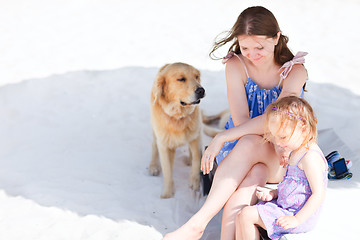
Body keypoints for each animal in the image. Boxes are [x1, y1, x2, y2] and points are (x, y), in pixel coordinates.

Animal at [149, 62, 205, 199]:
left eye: (196, 77)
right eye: (181, 79)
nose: (201, 90)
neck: (178, 117)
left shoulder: (196, 136)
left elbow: (197, 159)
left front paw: (194, 182)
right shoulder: (164, 144)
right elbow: (167, 169)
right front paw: (168, 194)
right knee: (154, 147)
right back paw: (153, 166)